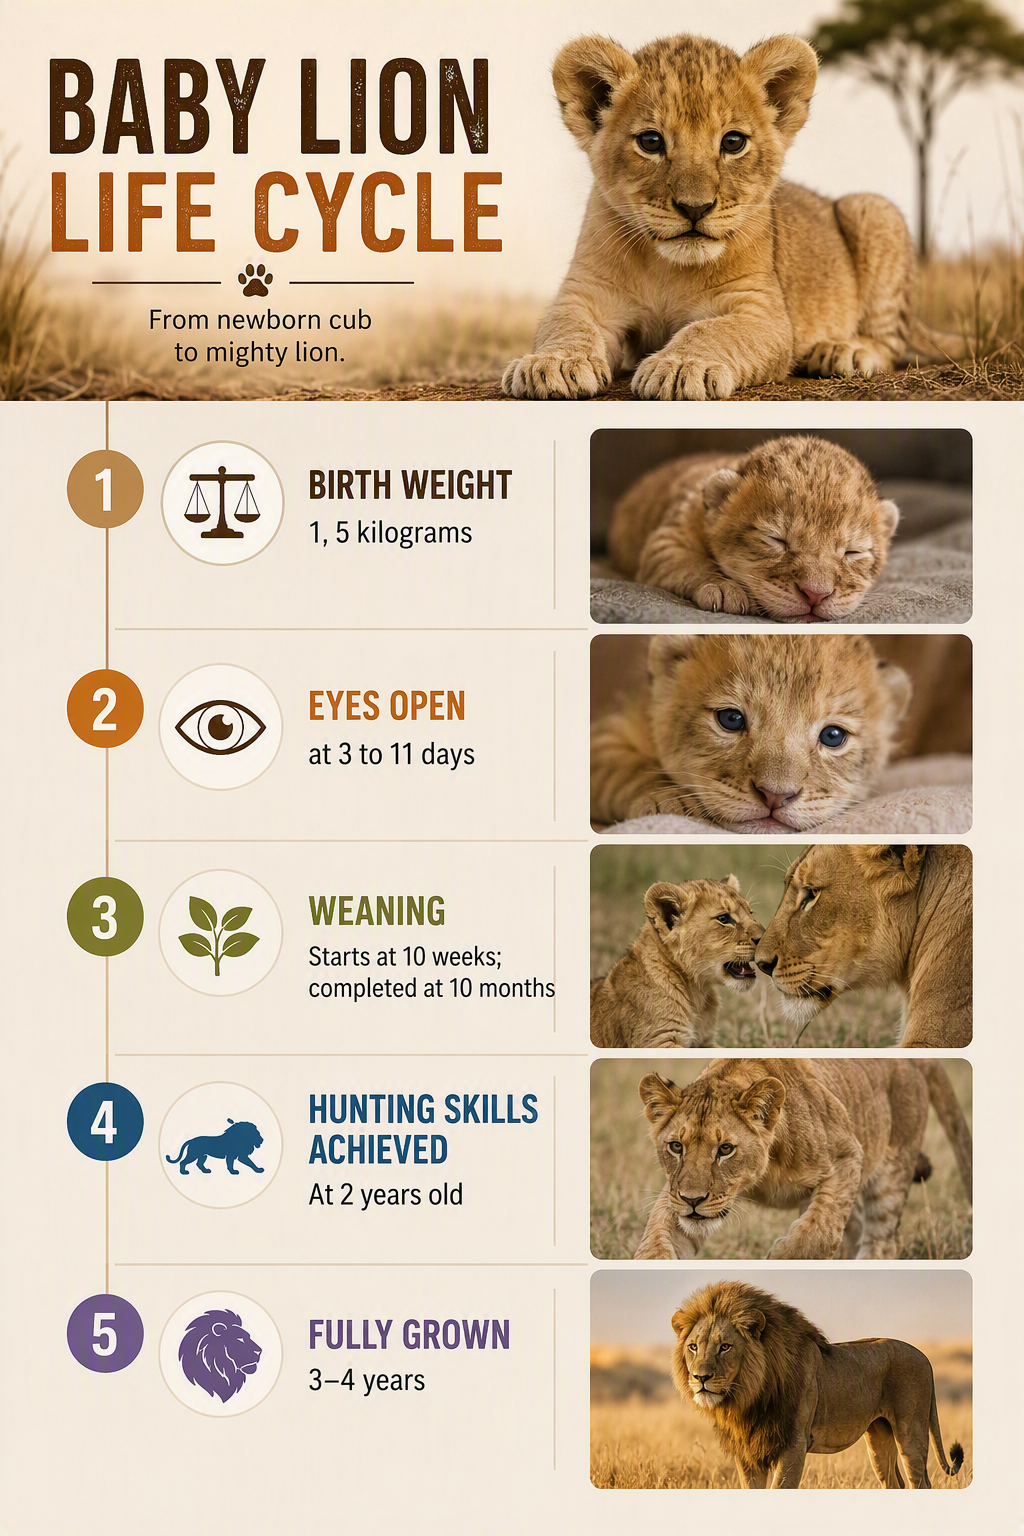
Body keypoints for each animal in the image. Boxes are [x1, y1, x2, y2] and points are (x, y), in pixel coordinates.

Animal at [503, 33, 955, 402]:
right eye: (651, 141)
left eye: (733, 142)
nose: (694, 208)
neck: (668, 269)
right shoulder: (587, 292)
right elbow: (566, 322)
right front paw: (553, 363)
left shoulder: (764, 314)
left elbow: (712, 329)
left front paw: (682, 366)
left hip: (872, 209)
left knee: (890, 344)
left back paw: (843, 350)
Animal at [591, 877, 763, 1048]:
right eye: (723, 918)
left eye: (751, 913)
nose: (764, 938)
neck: (697, 993)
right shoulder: (657, 1039)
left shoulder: (706, 1042)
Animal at [634, 1059, 971, 1260]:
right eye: (676, 1146)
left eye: (725, 1149)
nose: (693, 1200)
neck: (764, 1172)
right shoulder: (674, 1193)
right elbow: (657, 1238)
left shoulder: (848, 1156)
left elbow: (818, 1234)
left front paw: (778, 1259)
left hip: (891, 1174)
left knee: (881, 1242)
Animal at [671, 1281, 965, 1487]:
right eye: (694, 1347)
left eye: (725, 1347)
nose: (700, 1378)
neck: (750, 1398)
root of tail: (924, 1357)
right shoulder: (748, 1452)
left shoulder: (794, 1443)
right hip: (879, 1434)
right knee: (895, 1483)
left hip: (910, 1432)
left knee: (920, 1483)